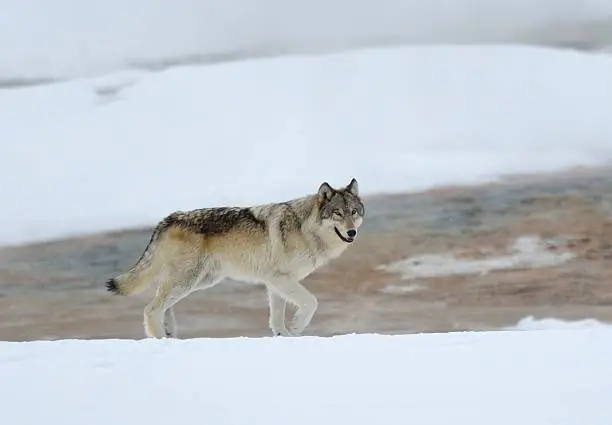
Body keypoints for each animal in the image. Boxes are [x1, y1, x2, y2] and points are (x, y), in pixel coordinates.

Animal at [104, 178, 364, 338]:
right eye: (337, 213)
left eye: (353, 212)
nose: (352, 232)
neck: (304, 229)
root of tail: (167, 218)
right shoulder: (280, 279)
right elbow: (311, 302)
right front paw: (297, 326)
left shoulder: (275, 282)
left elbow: (277, 319)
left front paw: (285, 336)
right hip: (188, 281)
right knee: (151, 309)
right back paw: (161, 341)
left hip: (198, 281)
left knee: (163, 305)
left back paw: (171, 335)